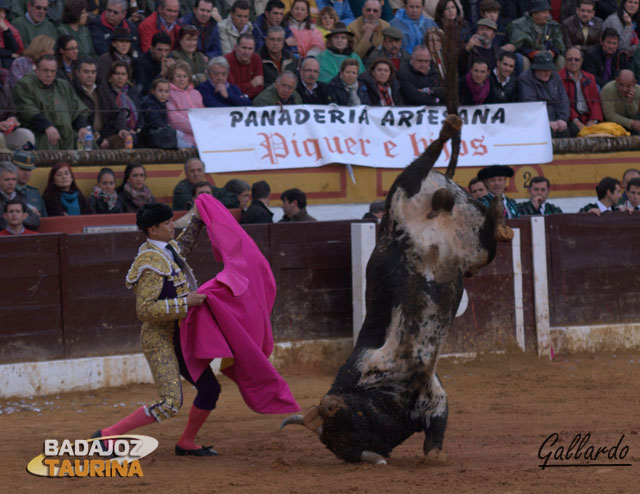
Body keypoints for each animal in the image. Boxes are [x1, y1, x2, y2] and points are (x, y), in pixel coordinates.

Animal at [280, 115, 516, 464]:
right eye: (348, 431)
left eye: (349, 418)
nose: (330, 406)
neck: (401, 384)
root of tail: (440, 198)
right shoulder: (434, 398)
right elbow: (435, 438)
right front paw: (433, 456)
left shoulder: (366, 363)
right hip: (471, 248)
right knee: (485, 240)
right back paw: (497, 212)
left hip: (402, 199)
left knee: (415, 170)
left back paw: (450, 133)